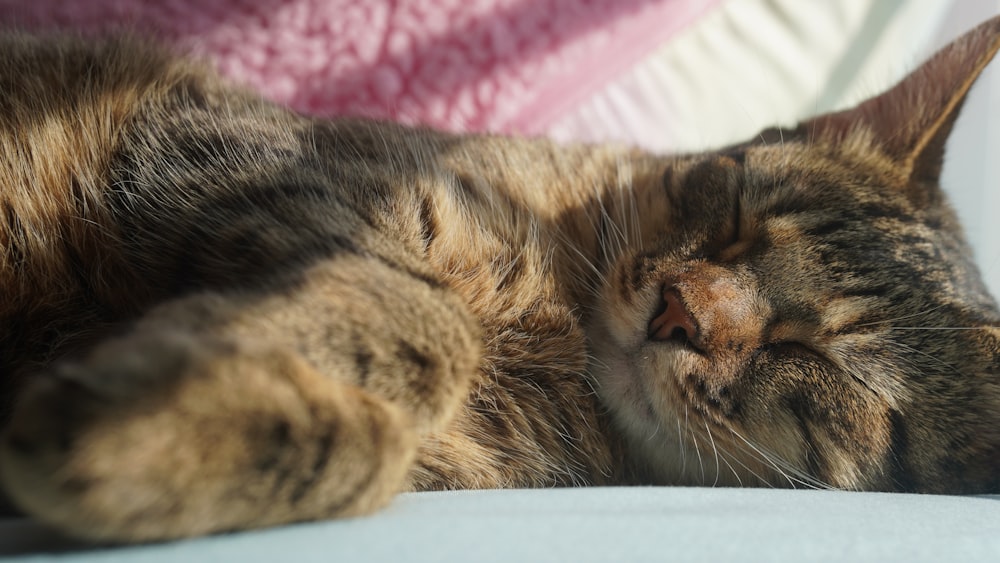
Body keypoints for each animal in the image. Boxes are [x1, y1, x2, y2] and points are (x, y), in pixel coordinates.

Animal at [1, 15, 1000, 544]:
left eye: (816, 358)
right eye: (735, 215)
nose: (679, 311)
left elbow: (384, 429)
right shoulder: (240, 154)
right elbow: (426, 318)